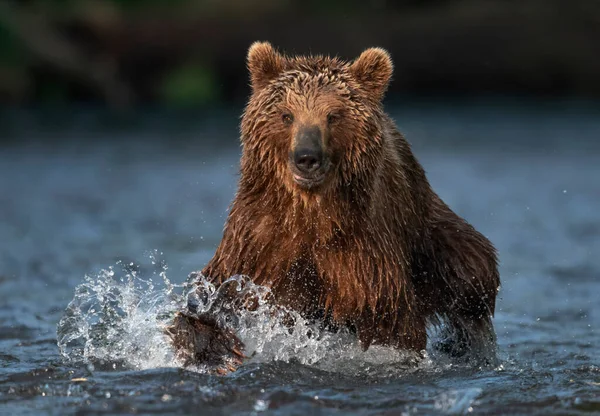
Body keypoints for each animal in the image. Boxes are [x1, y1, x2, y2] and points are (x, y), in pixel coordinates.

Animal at [166, 41, 500, 374]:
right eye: (286, 115)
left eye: (333, 115)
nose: (306, 157)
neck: (310, 209)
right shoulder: (258, 239)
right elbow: (215, 294)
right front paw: (214, 347)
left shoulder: (363, 251)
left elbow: (390, 320)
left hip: (427, 231)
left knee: (470, 276)